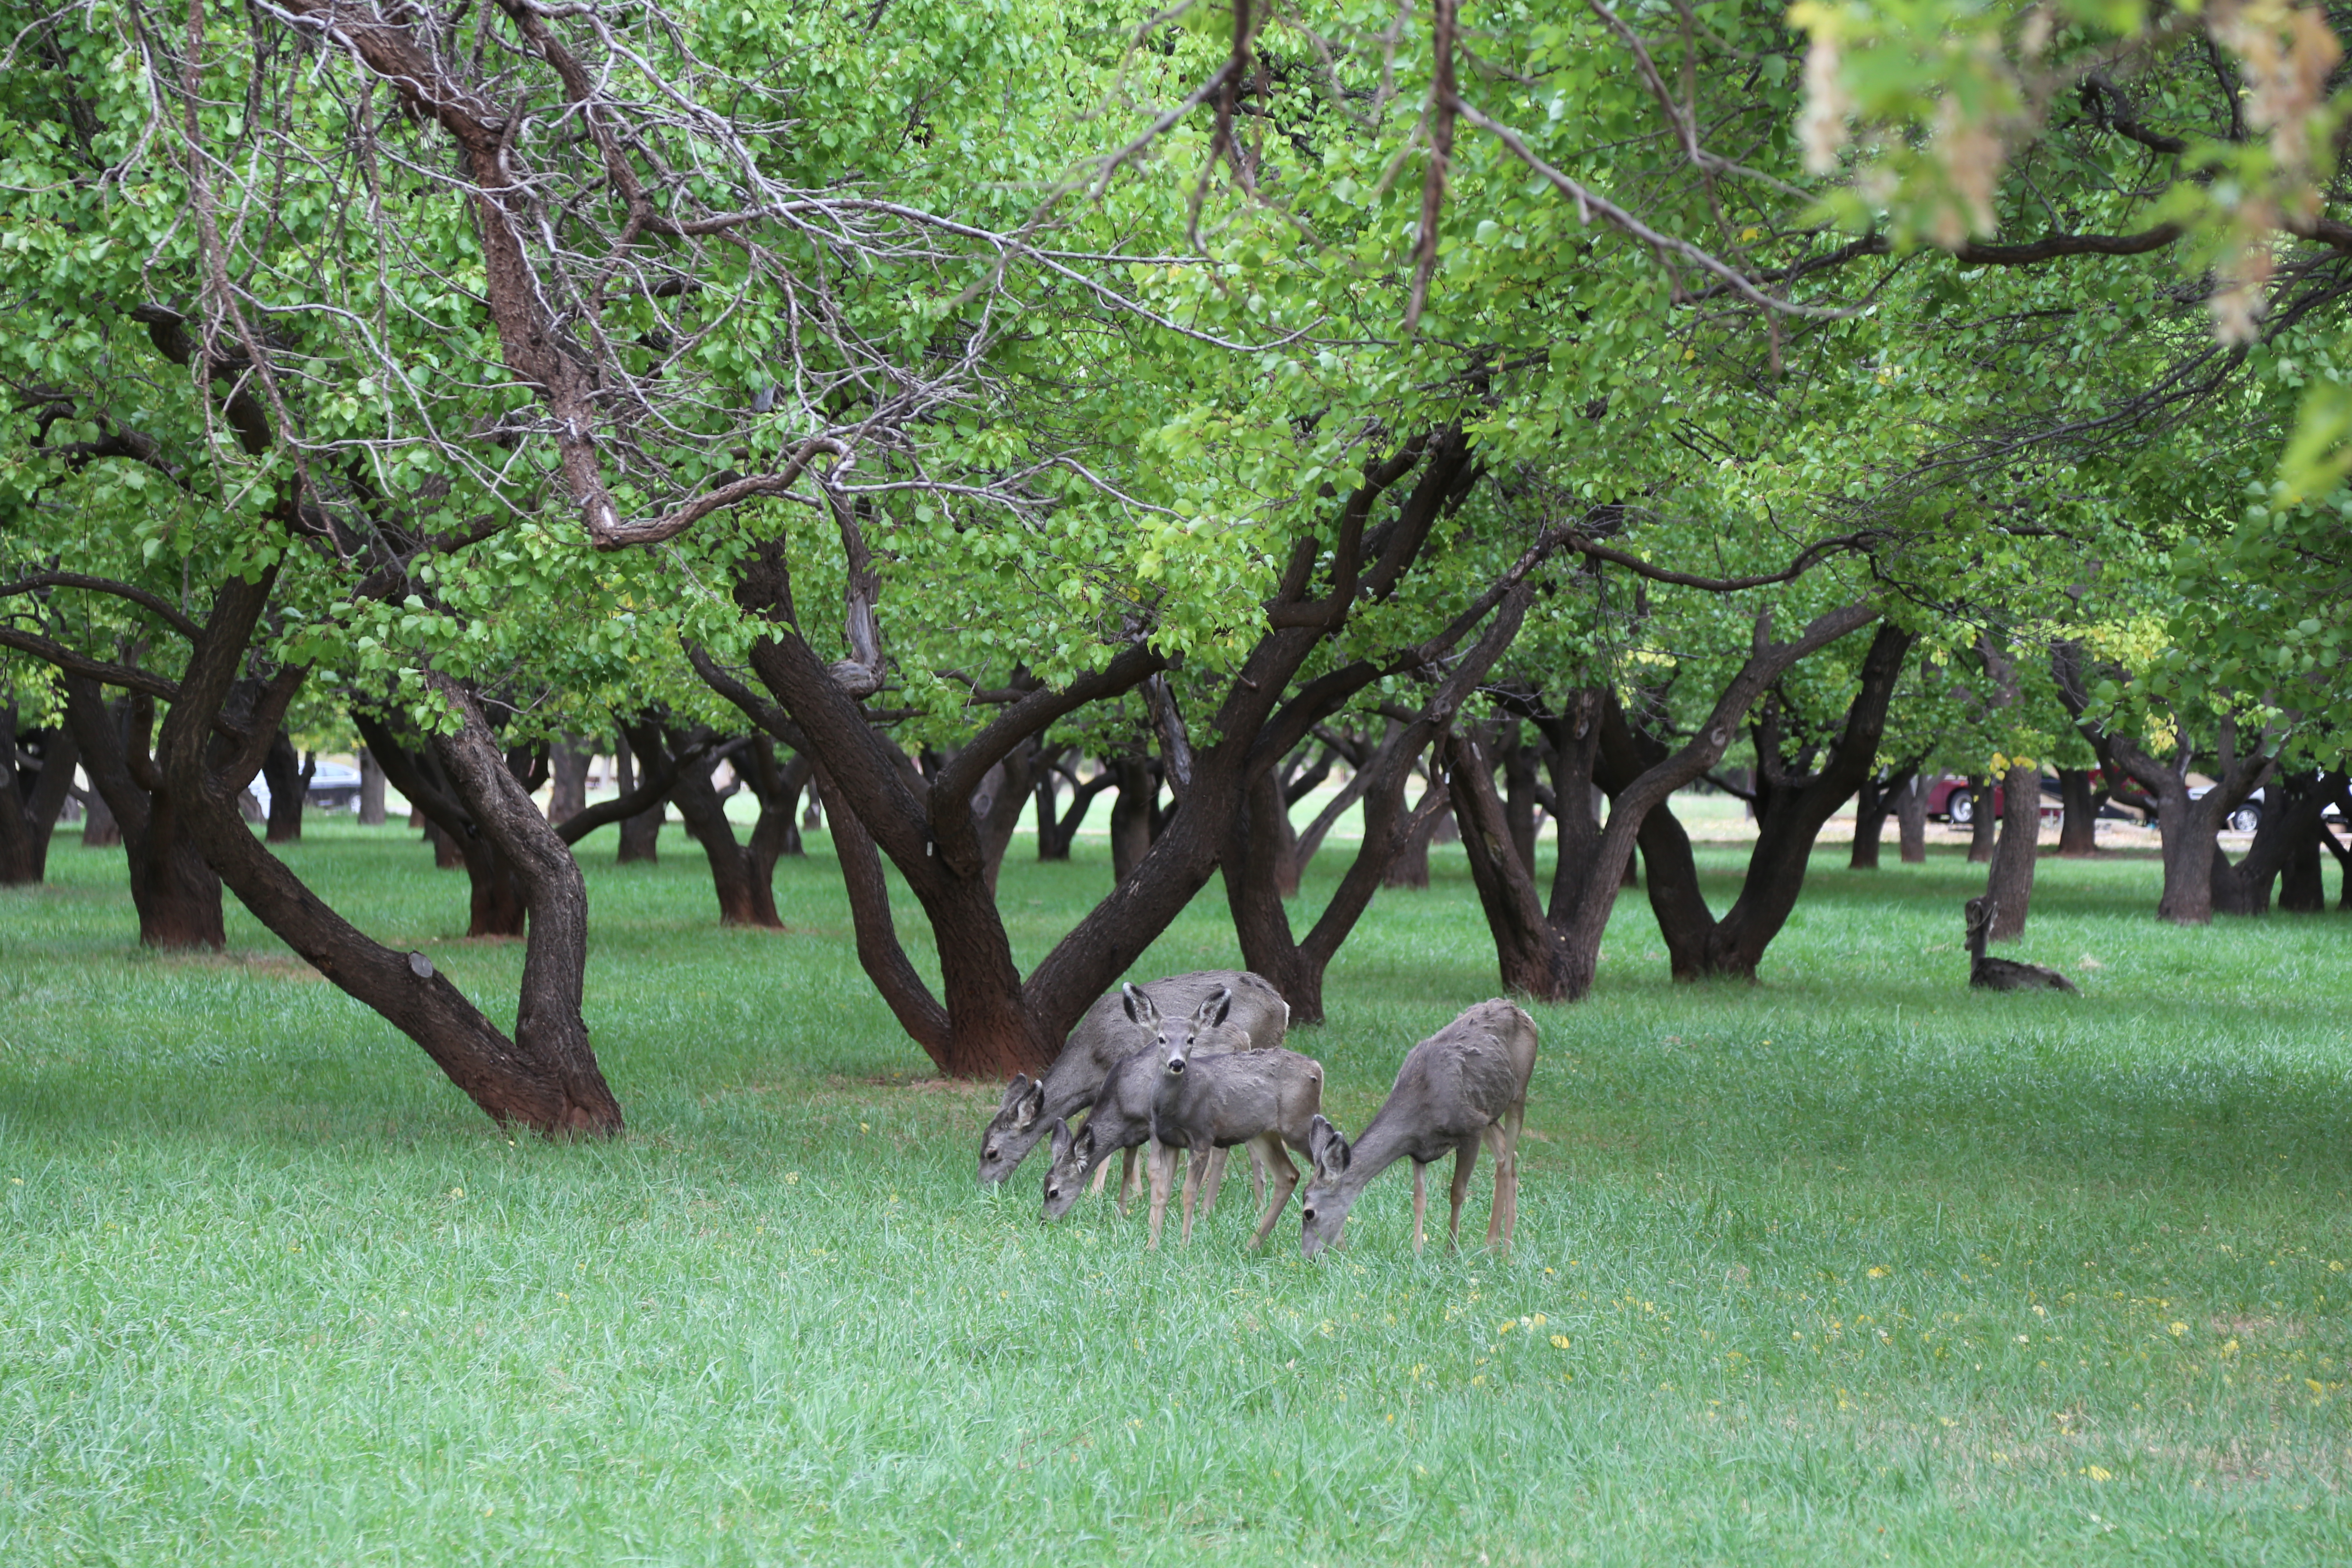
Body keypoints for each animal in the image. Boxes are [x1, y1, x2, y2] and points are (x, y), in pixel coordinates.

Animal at [1138, 992, 1326, 1250]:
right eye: (1161, 1039)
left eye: (1190, 1040)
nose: (1177, 1064)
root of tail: (1317, 1068)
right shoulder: (1168, 1140)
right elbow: (1160, 1191)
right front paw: (1152, 1247)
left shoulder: (1203, 1136)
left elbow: (1189, 1191)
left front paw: (1184, 1245)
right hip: (1265, 1133)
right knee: (1289, 1175)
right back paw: (1253, 1244)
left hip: (1300, 1124)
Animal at [1298, 1006, 1533, 1260]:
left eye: (1308, 1212)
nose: (1308, 1256)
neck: (1421, 1111)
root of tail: (1522, 1012)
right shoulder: (1419, 1149)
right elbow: (1419, 1199)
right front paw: (1417, 1252)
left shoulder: (1471, 1128)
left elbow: (1457, 1192)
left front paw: (1451, 1251)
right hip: (1490, 1112)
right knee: (1506, 1155)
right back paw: (1492, 1245)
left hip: (1518, 1093)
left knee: (1507, 1162)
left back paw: (1505, 1250)